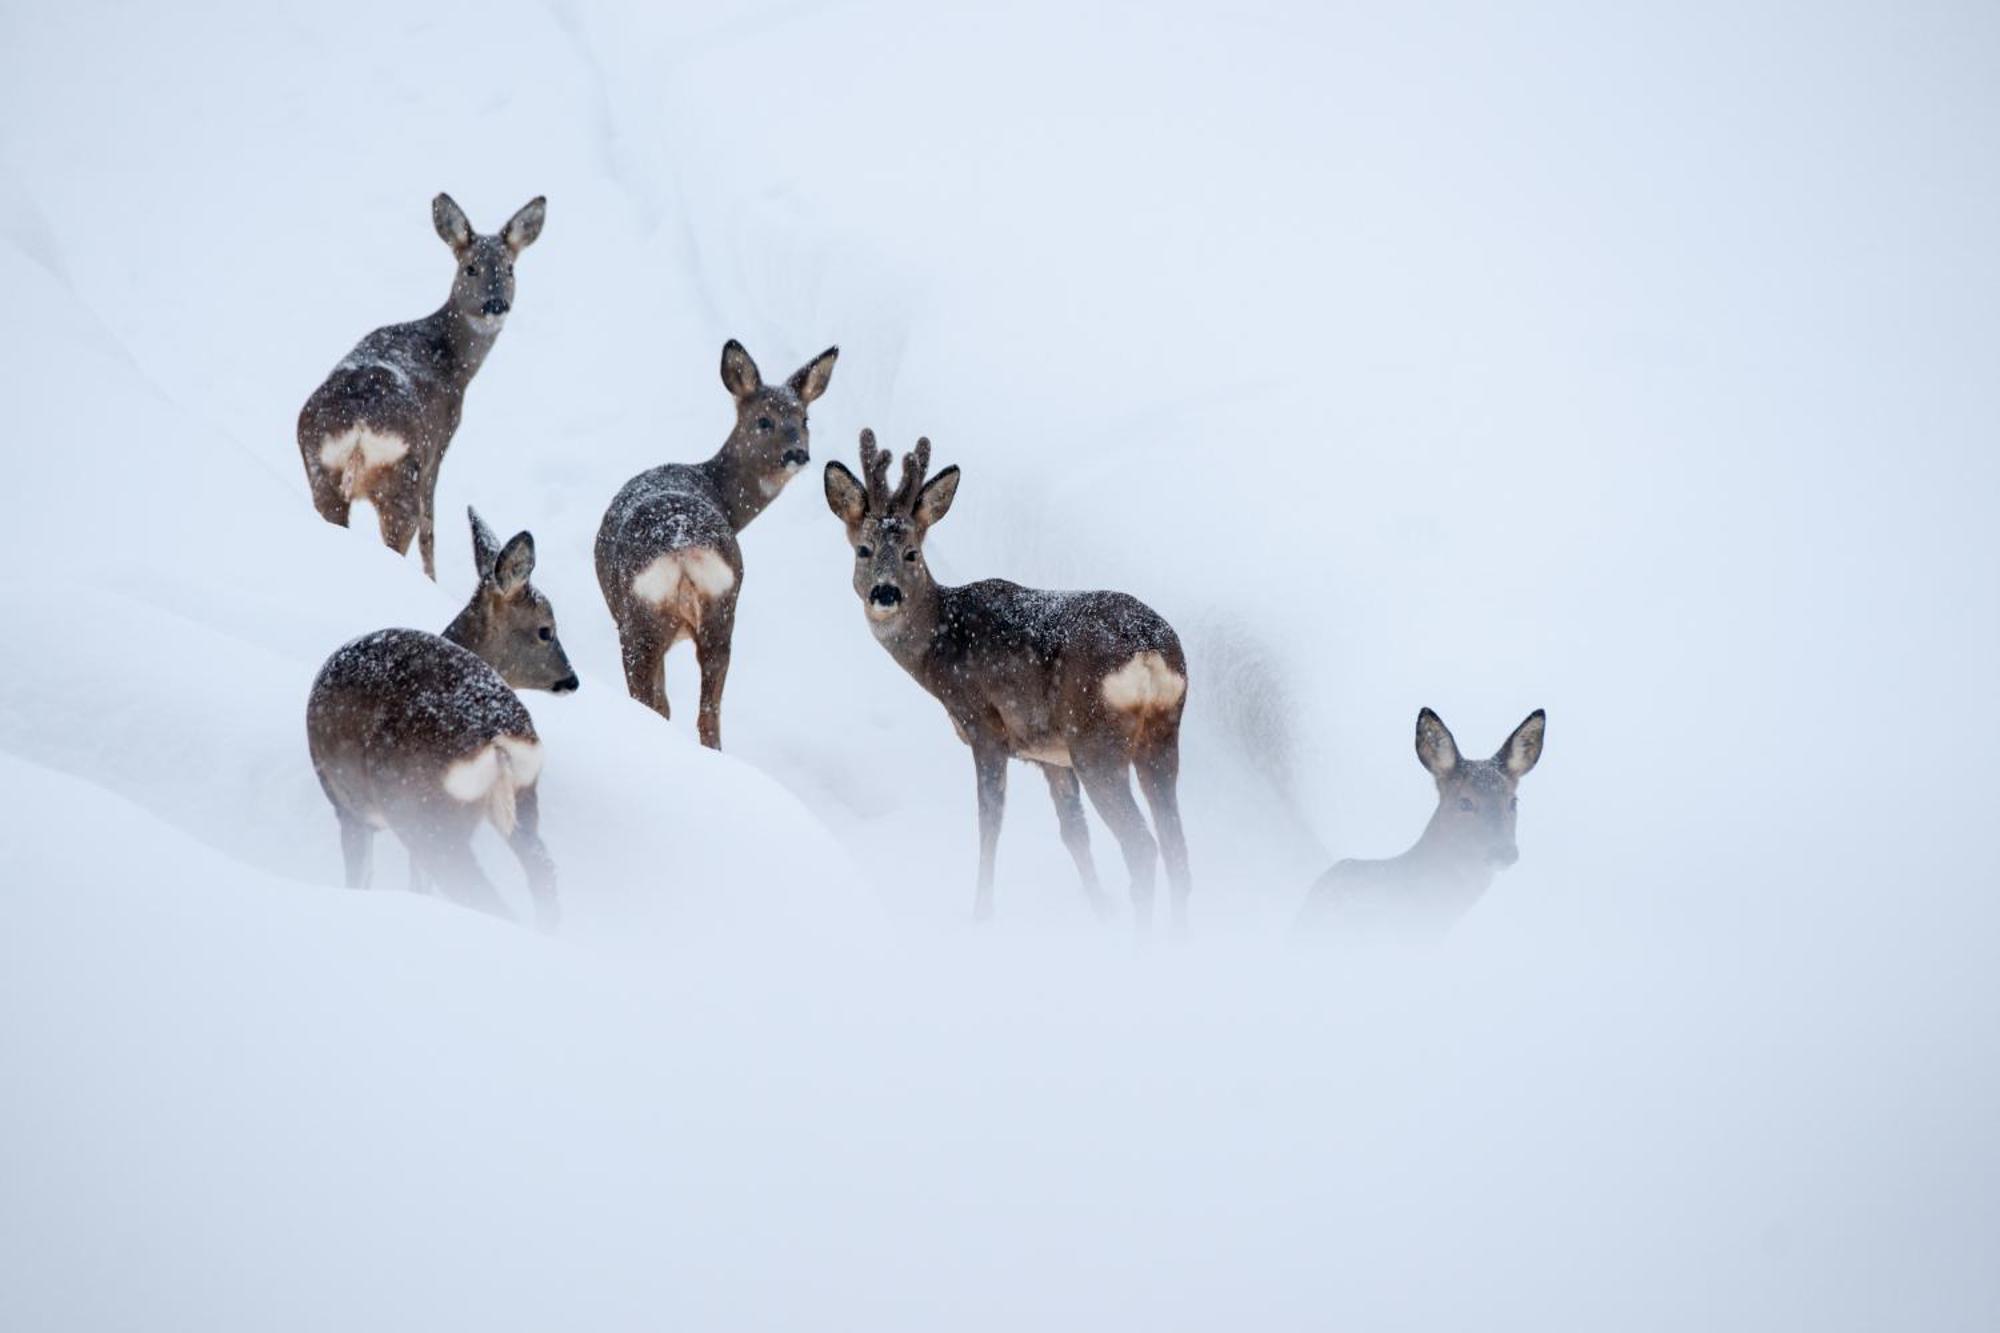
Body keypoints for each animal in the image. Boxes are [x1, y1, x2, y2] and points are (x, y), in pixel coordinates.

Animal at [296, 192, 548, 576]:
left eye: (510, 269)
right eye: (470, 267)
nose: (496, 304)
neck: (451, 360)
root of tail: (359, 427)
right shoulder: (441, 441)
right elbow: (431, 529)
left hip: (320, 468)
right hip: (403, 476)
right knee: (410, 530)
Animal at [306, 504, 580, 928]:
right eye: (545, 631)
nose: (572, 680)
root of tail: (495, 734)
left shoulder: (347, 806)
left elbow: (362, 876)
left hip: (423, 812)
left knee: (479, 892)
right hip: (523, 795)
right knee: (543, 871)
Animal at [596, 338, 840, 748]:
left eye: (804, 420)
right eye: (763, 421)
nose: (798, 454)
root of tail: (681, 547)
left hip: (639, 622)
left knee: (656, 704)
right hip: (721, 614)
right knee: (709, 713)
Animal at [824, 434, 1192, 924]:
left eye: (911, 553)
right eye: (863, 550)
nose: (885, 593)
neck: (941, 645)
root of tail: (1149, 653)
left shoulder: (985, 727)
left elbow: (990, 824)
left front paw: (981, 911)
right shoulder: (1050, 755)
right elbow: (1073, 831)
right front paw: (1099, 907)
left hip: (1096, 740)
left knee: (1142, 846)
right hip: (1161, 736)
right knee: (1177, 849)